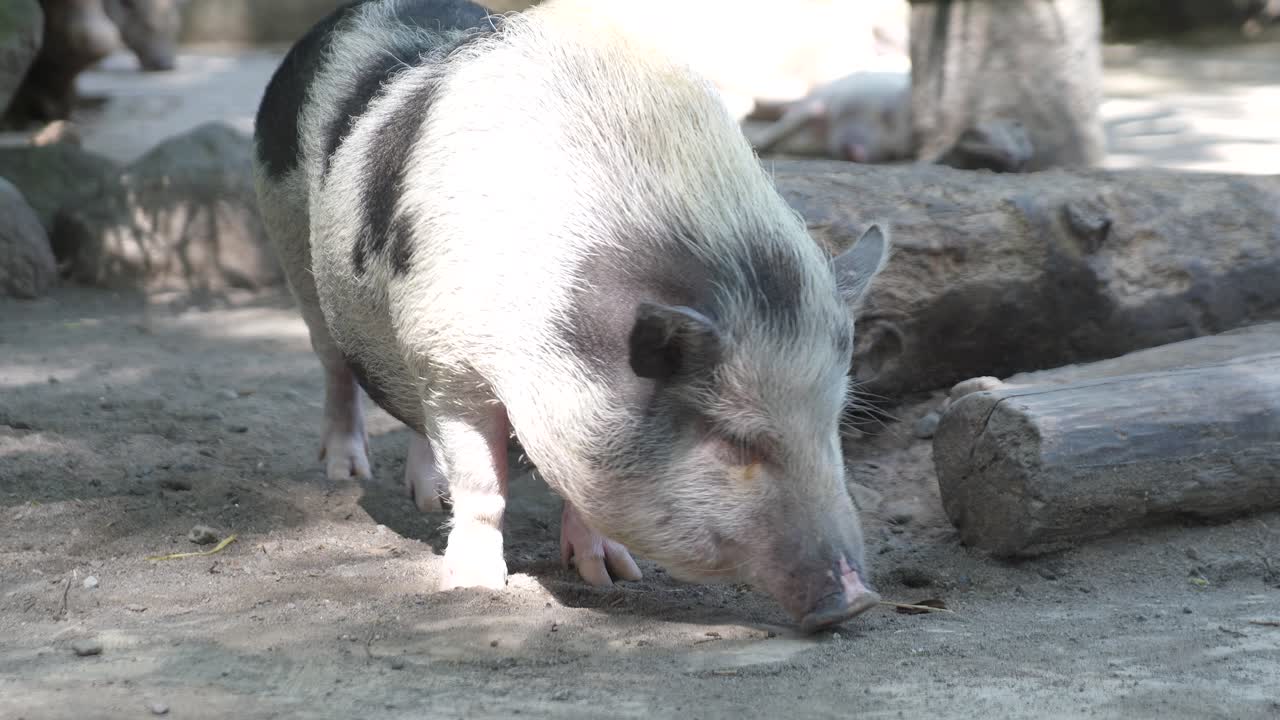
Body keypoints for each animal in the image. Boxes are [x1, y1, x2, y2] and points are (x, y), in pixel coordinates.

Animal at [252, 0, 891, 634]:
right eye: (736, 442)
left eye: (832, 424)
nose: (859, 599)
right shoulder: (450, 363)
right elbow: (482, 483)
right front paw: (475, 587)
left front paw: (612, 576)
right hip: (294, 250)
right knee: (337, 368)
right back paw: (347, 473)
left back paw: (429, 499)